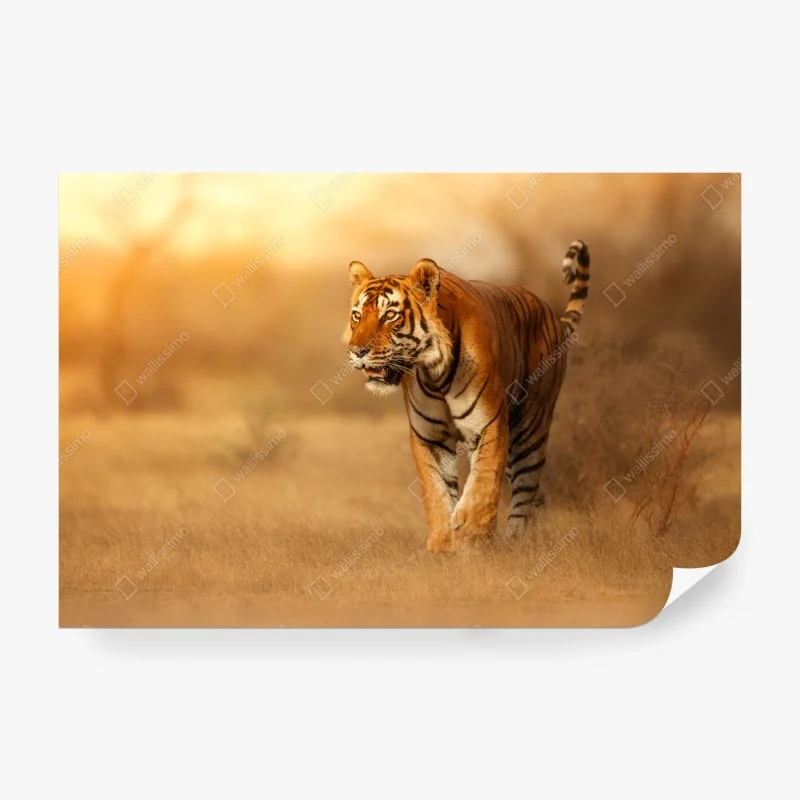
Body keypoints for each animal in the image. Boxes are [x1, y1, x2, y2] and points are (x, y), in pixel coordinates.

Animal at [344, 240, 590, 553]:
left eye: (390, 315)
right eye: (357, 315)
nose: (357, 351)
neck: (434, 373)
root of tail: (552, 316)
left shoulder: (489, 424)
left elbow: (483, 482)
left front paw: (471, 536)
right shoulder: (430, 437)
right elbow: (436, 491)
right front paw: (442, 545)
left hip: (530, 428)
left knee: (525, 489)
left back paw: (517, 541)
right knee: (536, 494)